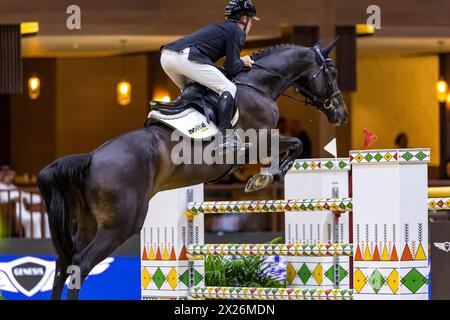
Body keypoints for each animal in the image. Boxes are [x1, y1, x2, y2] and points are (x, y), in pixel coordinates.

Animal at [37, 38, 348, 300]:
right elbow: (295, 144)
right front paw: (264, 178)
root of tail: (91, 158)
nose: (341, 114)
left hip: (87, 223)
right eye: (332, 71)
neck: (255, 87)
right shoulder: (259, 142)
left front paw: (263, 177)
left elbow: (292, 146)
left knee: (64, 263)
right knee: (81, 264)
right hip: (120, 225)